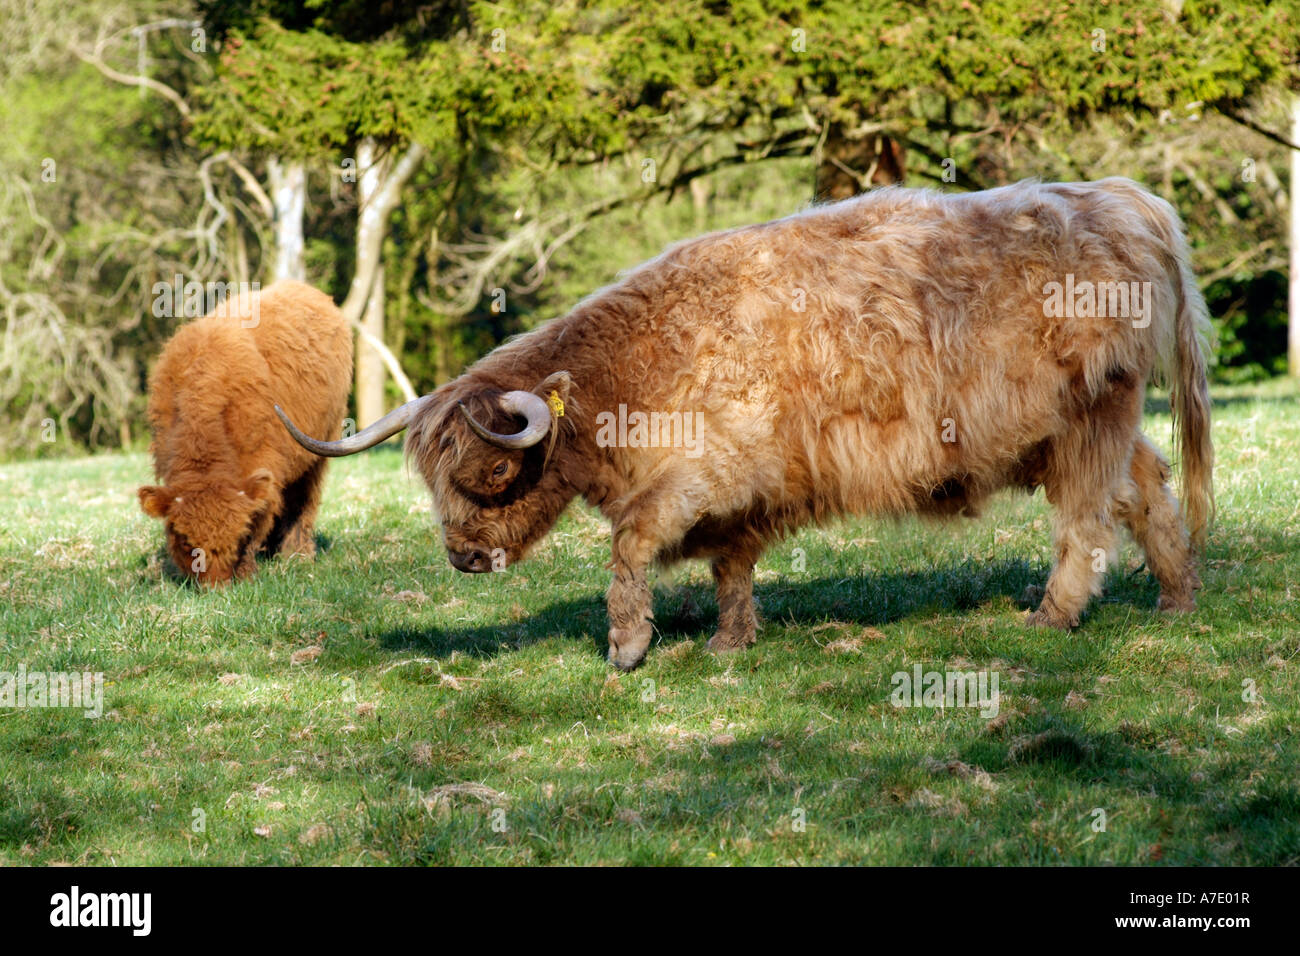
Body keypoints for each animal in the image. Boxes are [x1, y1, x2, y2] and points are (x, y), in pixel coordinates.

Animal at [139, 279, 353, 586]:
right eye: (185, 541)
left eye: (238, 536)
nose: (216, 587)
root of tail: (302, 287)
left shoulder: (264, 462)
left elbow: (262, 513)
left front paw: (247, 571)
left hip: (321, 444)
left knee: (304, 500)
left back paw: (297, 554)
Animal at [277, 178, 1213, 670]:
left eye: (494, 472)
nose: (465, 558)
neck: (638, 372)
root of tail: (1120, 198)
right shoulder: (737, 497)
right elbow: (731, 564)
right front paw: (731, 642)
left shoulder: (703, 472)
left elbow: (631, 544)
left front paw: (627, 647)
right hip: (1081, 431)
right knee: (1149, 488)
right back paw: (1176, 600)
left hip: (1090, 417)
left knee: (1087, 520)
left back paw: (1053, 615)